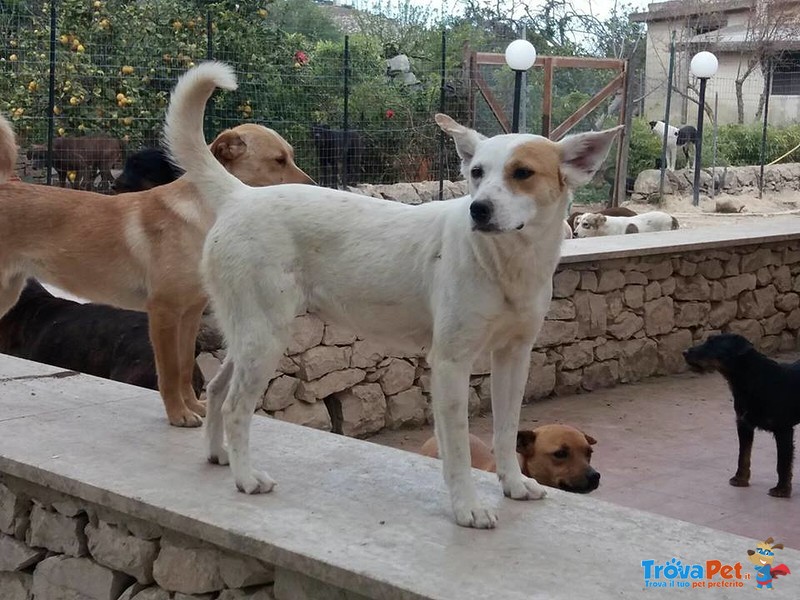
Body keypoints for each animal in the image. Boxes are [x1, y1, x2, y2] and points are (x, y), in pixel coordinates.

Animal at [680, 332, 800, 496]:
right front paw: (740, 479)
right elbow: (743, 455)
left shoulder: (783, 429)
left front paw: (781, 489)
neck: (753, 380)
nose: (684, 352)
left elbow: (782, 462)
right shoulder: (744, 424)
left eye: (712, 343)